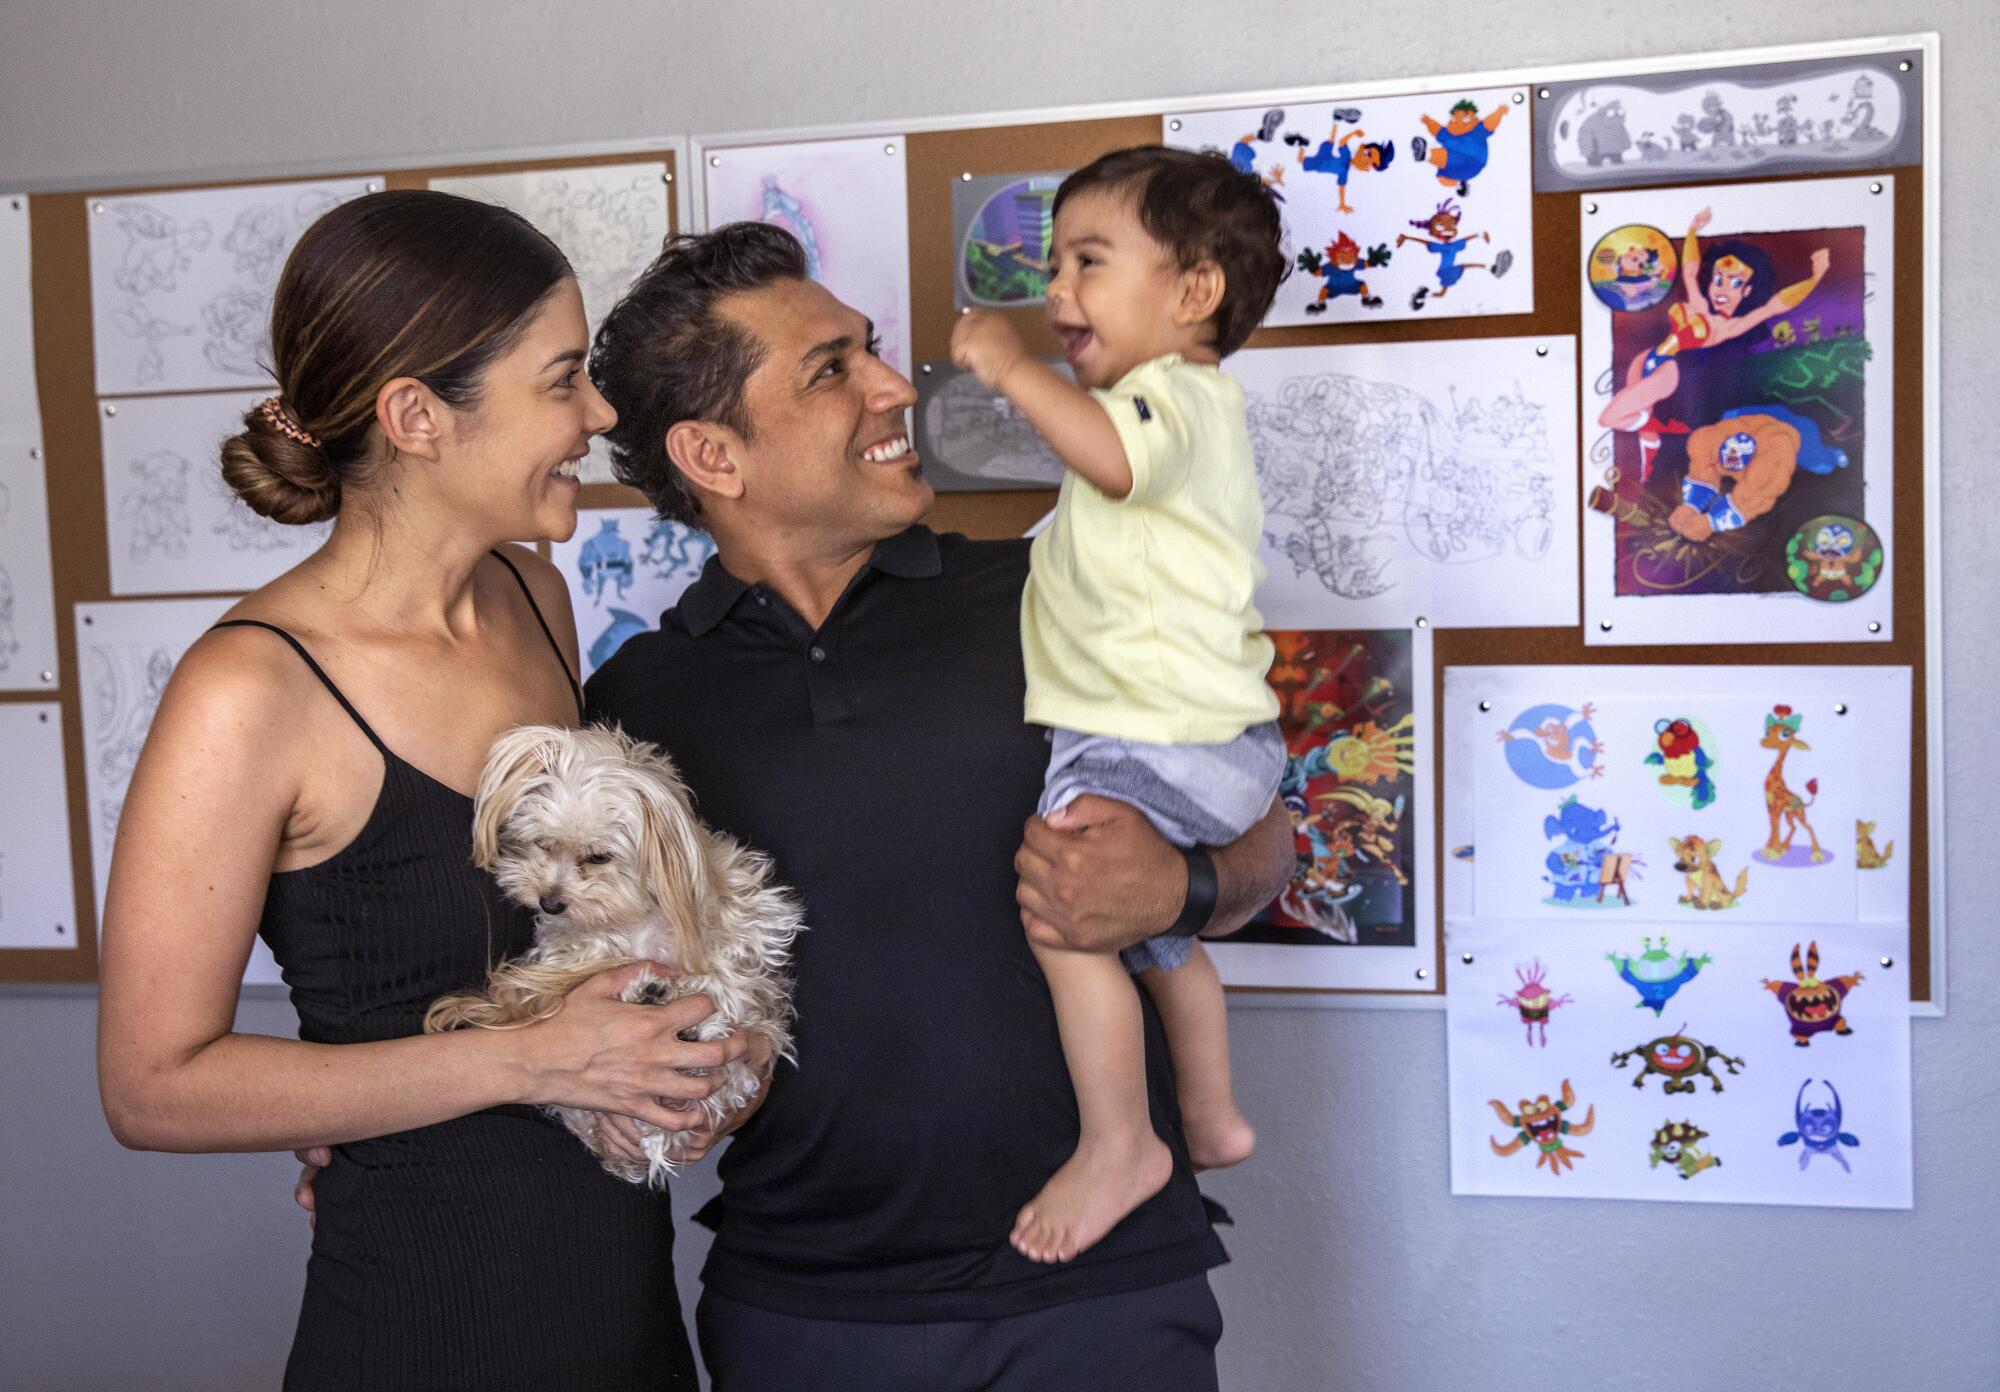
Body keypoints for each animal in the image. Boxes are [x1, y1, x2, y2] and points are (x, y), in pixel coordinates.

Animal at [428, 724, 804, 1192]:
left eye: (599, 857)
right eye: (542, 844)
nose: (550, 903)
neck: (638, 912)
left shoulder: (750, 926)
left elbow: (733, 980)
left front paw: (708, 1004)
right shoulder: (572, 947)